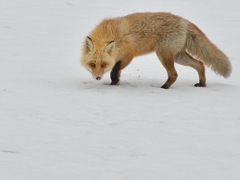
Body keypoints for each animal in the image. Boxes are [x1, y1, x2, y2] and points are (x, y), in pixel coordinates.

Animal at [80, 11, 231, 88]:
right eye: (92, 64)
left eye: (103, 64)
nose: (98, 78)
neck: (112, 35)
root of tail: (184, 21)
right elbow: (115, 70)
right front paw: (113, 82)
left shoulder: (128, 55)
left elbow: (115, 70)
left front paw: (114, 83)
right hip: (178, 56)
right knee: (200, 64)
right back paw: (202, 84)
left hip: (164, 55)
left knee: (174, 74)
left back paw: (164, 87)